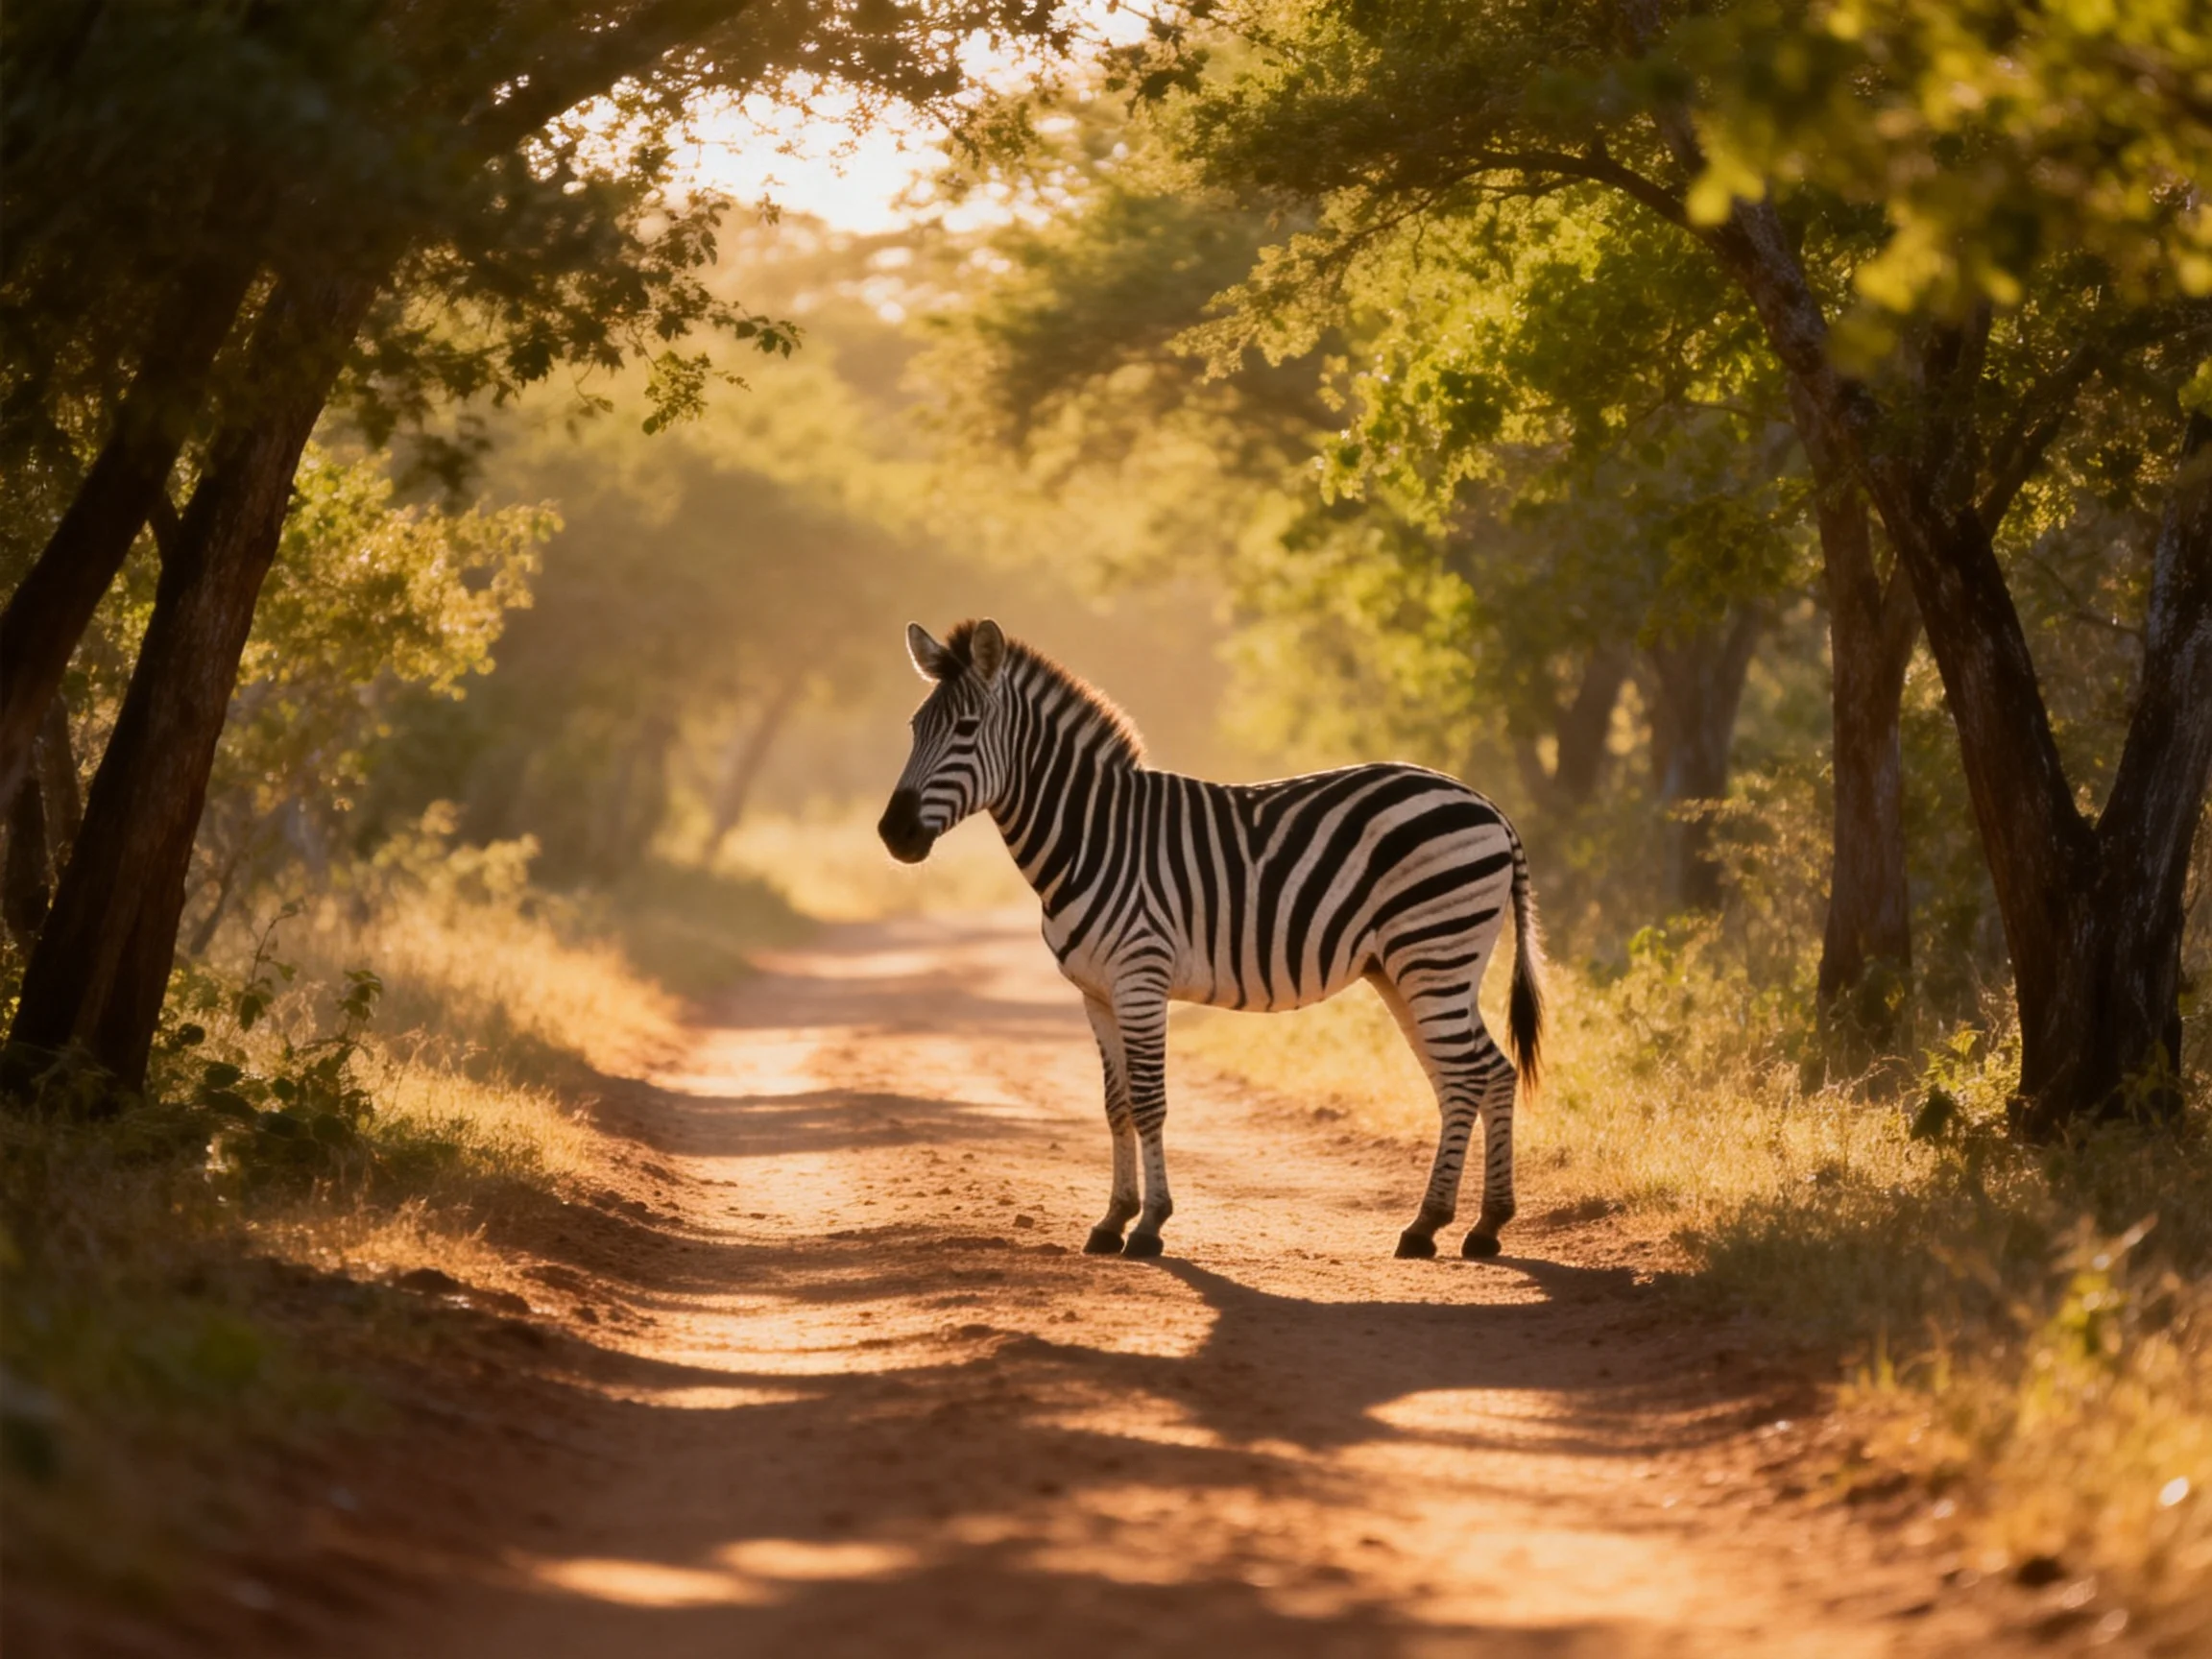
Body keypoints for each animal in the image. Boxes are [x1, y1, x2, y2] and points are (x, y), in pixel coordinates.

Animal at [877, 618, 1544, 1262]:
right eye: (913, 728)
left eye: (965, 728)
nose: (893, 833)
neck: (1092, 837)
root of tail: (1487, 805)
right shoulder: (1096, 993)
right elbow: (1116, 1105)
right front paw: (1112, 1220)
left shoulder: (1141, 978)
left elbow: (1149, 1101)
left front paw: (1150, 1226)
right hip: (1408, 969)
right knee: (1480, 1075)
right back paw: (1474, 1224)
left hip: (1434, 954)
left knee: (1469, 1075)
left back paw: (1438, 1227)